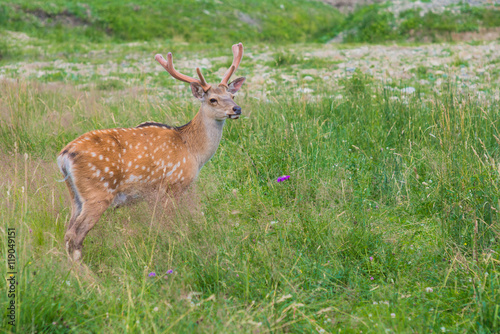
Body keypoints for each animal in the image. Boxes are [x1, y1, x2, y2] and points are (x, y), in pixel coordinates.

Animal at [57, 42, 245, 260]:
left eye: (232, 95)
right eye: (213, 99)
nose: (237, 109)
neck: (192, 150)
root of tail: (63, 156)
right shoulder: (172, 186)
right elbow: (170, 224)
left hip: (75, 196)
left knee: (68, 230)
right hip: (97, 192)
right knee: (75, 234)